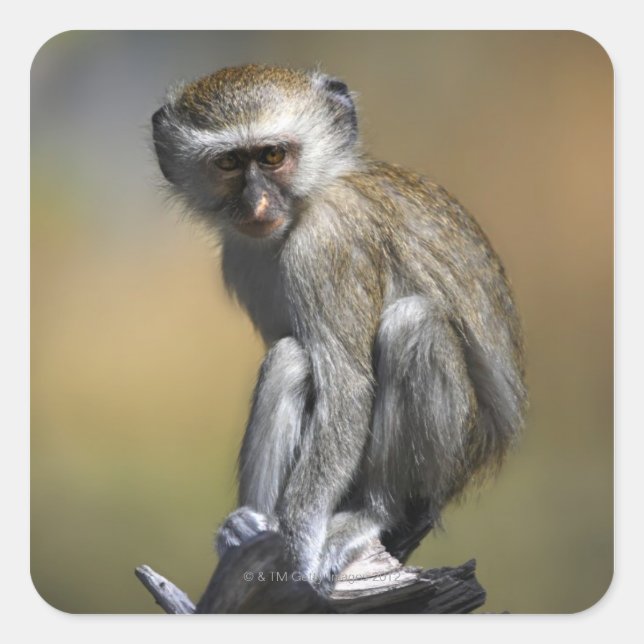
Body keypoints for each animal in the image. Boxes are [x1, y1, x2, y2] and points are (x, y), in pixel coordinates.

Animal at [151, 64, 527, 594]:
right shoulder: (241, 258)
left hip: (454, 458)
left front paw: (296, 548)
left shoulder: (327, 244)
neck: (308, 203)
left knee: (413, 326)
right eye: (228, 163)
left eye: (272, 156)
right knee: (290, 358)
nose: (256, 204)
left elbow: (348, 387)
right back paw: (246, 527)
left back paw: (374, 512)